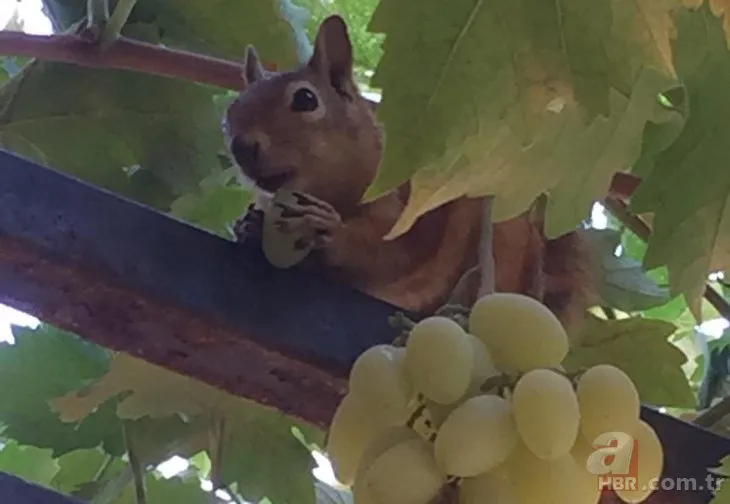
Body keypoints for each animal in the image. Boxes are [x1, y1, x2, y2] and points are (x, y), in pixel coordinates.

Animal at [222, 13, 604, 328]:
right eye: (231, 112)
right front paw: (250, 225)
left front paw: (326, 226)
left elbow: (393, 250)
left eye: (306, 99)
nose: (242, 147)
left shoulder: (412, 212)